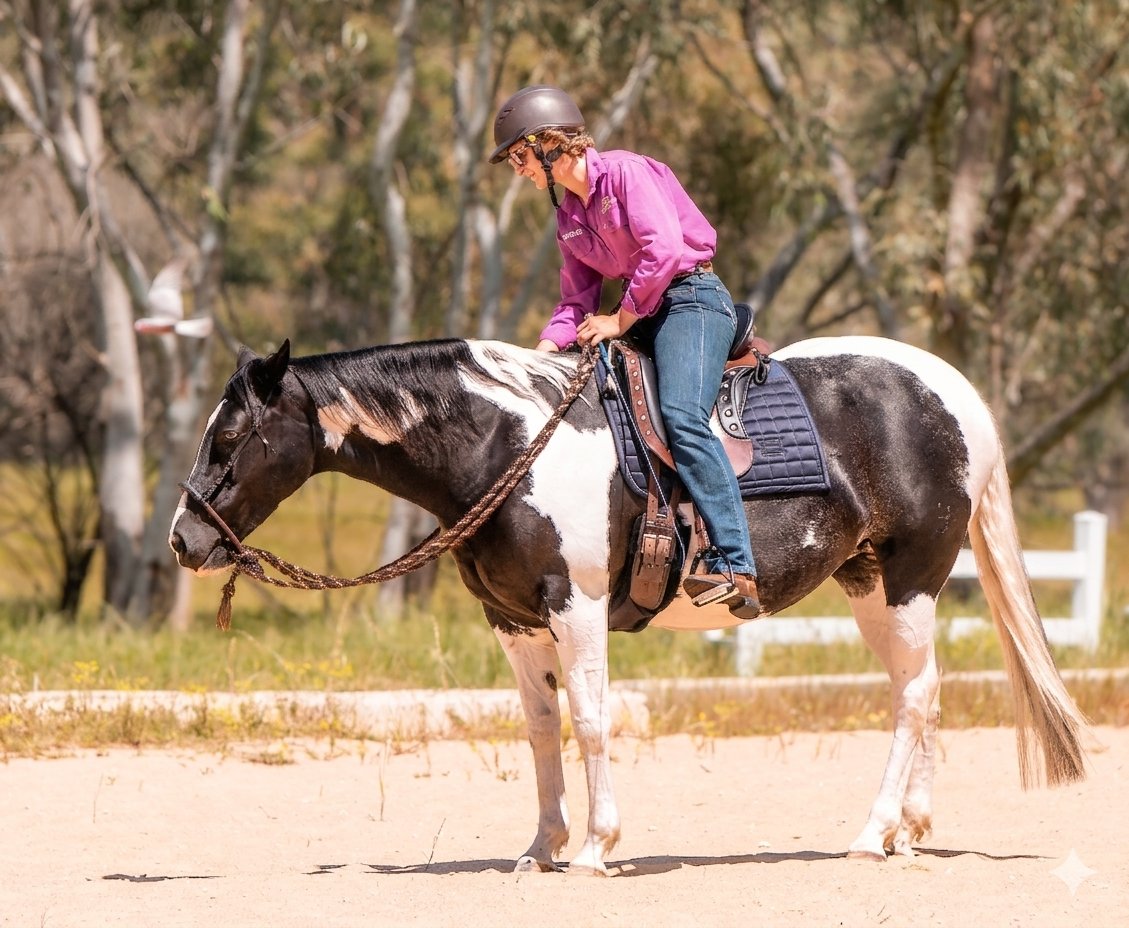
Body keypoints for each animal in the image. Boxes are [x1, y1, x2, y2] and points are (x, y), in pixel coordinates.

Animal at [169, 334, 1088, 875]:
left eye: (229, 436)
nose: (184, 540)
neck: (508, 446)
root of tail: (949, 388)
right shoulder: (513, 620)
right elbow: (540, 729)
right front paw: (541, 846)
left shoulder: (574, 607)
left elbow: (589, 719)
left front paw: (594, 847)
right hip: (866, 583)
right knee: (919, 689)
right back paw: (907, 827)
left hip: (910, 579)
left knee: (914, 696)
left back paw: (871, 834)